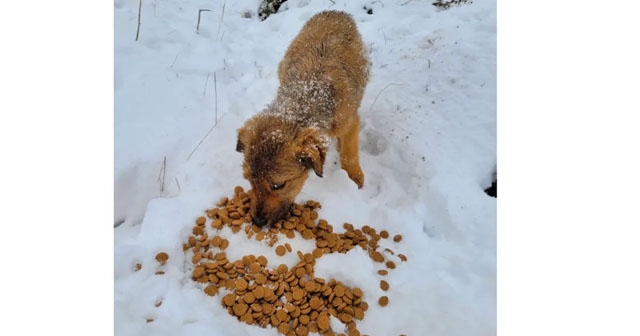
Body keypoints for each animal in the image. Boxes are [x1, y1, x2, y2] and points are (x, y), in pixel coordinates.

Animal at [236, 10, 370, 227]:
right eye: (249, 180)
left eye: (278, 185)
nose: (257, 222)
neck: (308, 95)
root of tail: (335, 12)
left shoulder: (350, 122)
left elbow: (349, 153)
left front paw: (353, 177)